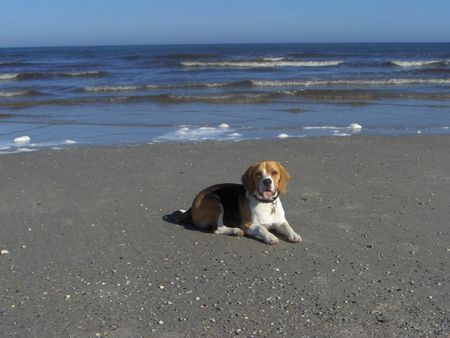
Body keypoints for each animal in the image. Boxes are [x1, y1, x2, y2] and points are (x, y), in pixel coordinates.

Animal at [171, 160, 300, 243]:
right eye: (258, 174)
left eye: (274, 172)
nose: (267, 181)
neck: (266, 203)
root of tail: (192, 205)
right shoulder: (247, 224)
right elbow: (261, 228)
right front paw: (270, 236)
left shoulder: (280, 222)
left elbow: (288, 227)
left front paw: (294, 235)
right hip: (215, 201)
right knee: (217, 229)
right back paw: (235, 230)